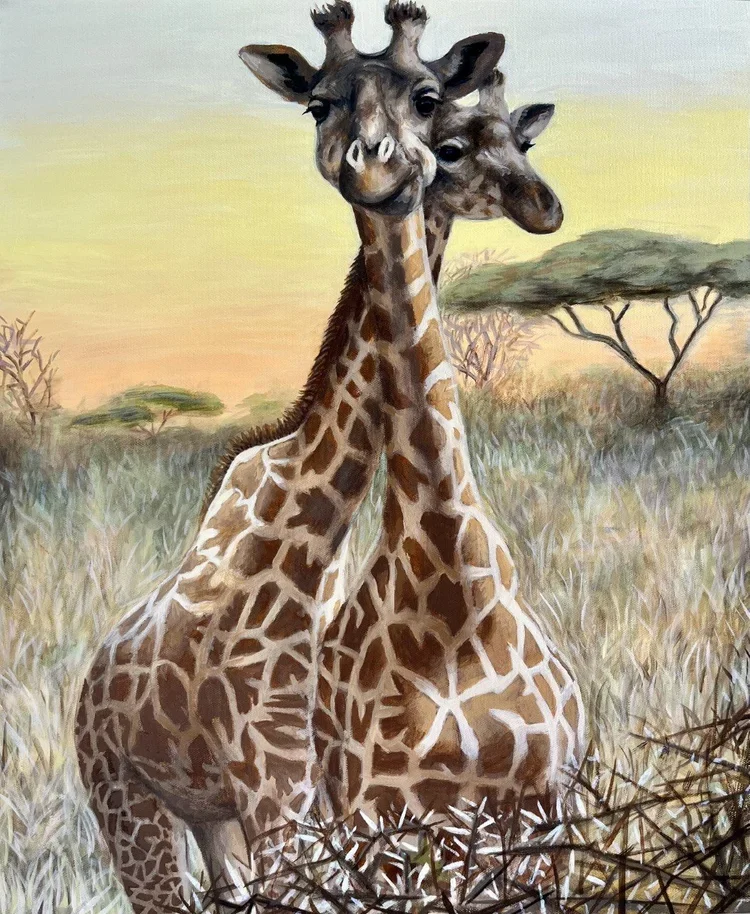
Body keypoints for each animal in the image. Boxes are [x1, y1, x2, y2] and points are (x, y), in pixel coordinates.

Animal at [74, 4, 505, 911]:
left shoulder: (303, 799)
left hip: (212, 821)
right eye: (318, 104)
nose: (379, 170)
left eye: (426, 98)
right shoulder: (279, 794)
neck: (310, 534)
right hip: (129, 807)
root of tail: (88, 679)